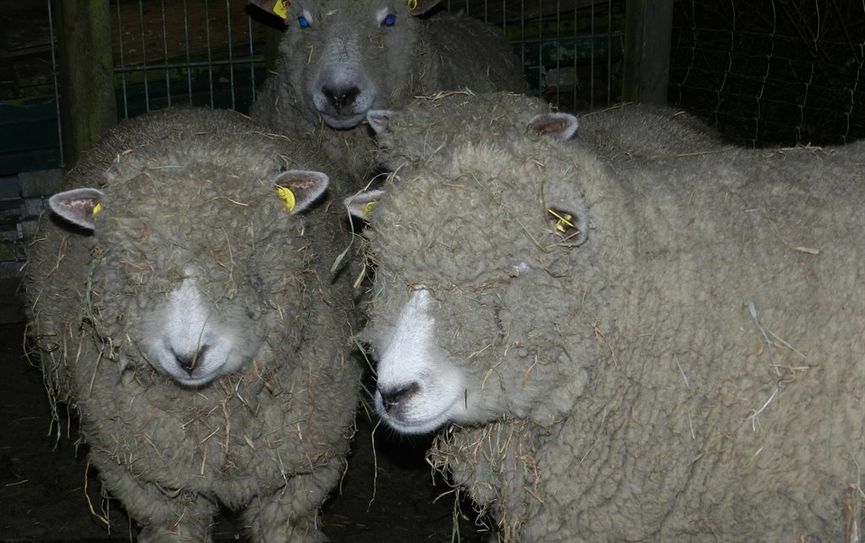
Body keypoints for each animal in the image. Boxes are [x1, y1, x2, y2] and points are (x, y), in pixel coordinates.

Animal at [24, 107, 362, 543]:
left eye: (245, 259)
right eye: (133, 267)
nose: (189, 357)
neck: (220, 421)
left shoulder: (300, 471)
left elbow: (287, 522)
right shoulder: (150, 479)